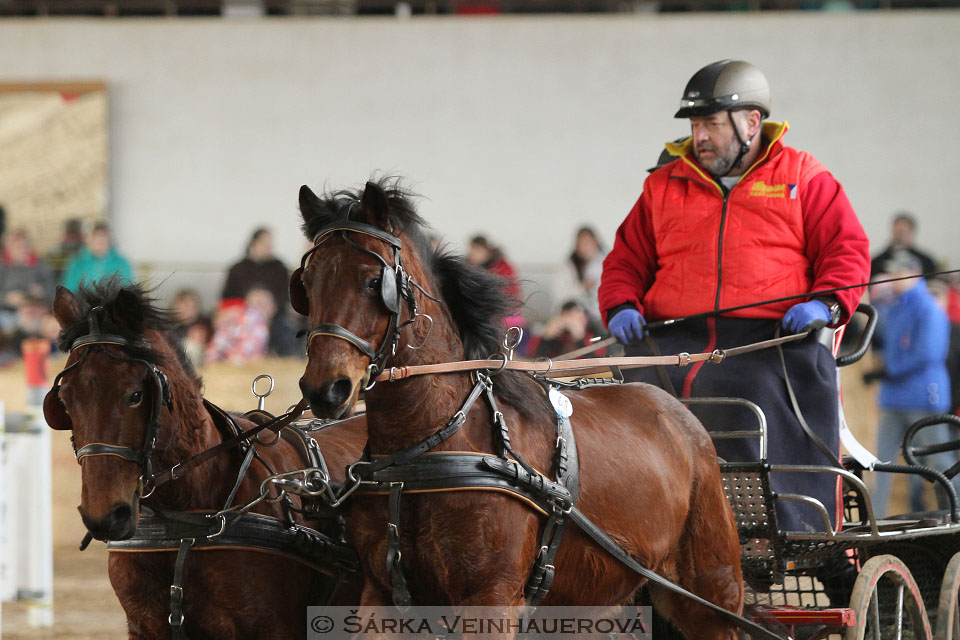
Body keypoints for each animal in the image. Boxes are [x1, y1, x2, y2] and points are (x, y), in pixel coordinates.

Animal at [296, 179, 748, 640]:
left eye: (374, 282)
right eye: (307, 285)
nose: (325, 389)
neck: (426, 449)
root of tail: (681, 416)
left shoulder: (491, 600)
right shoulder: (381, 596)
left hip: (711, 593)